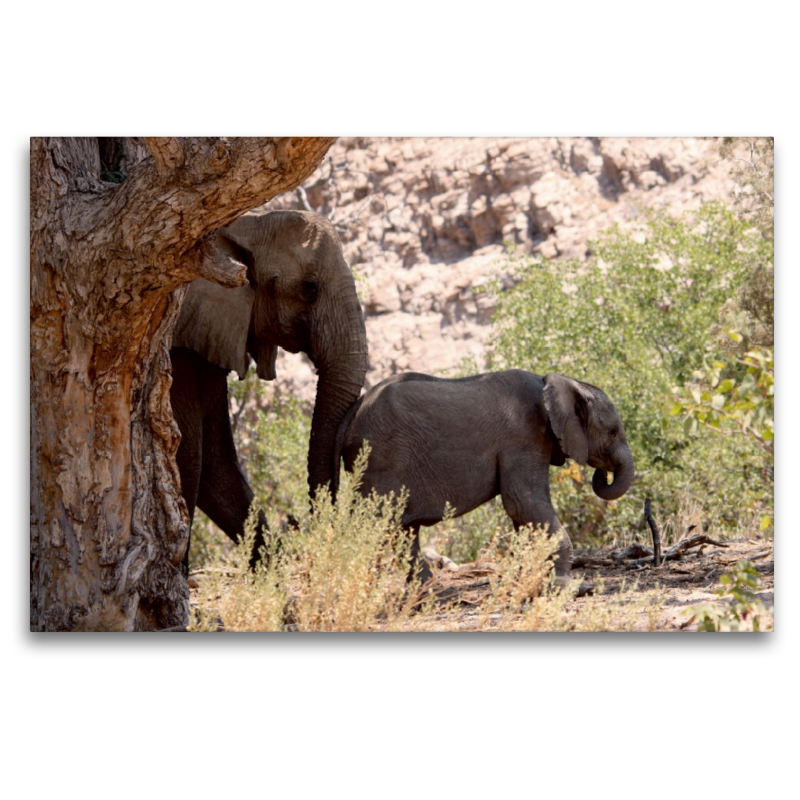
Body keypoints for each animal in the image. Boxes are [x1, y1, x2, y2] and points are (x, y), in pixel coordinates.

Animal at [332, 368, 632, 580]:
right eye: (613, 432)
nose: (603, 473)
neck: (555, 383)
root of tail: (354, 411)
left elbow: (524, 512)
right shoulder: (523, 436)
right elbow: (522, 502)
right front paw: (561, 583)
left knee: (402, 532)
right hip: (379, 459)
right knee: (377, 526)